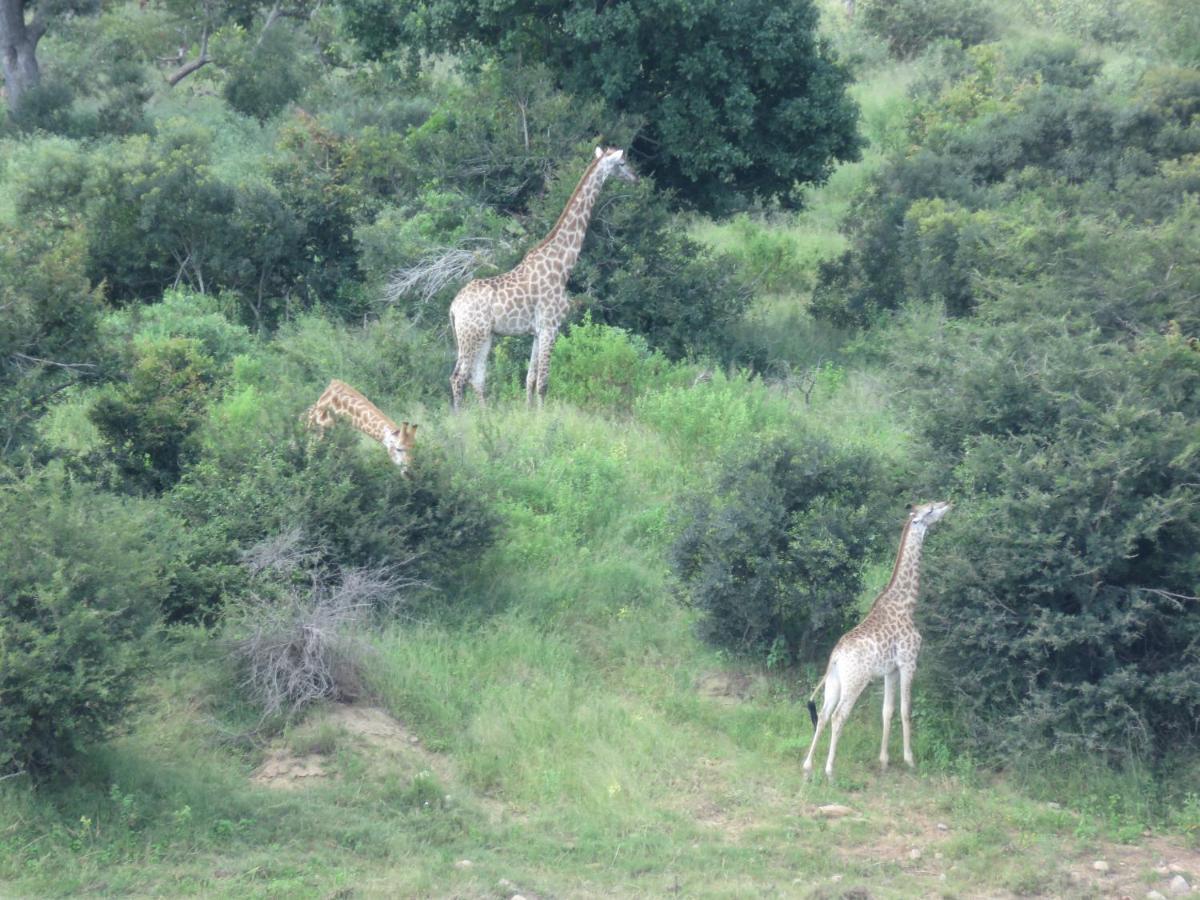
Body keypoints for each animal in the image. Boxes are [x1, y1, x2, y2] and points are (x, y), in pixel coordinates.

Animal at [448, 145, 638, 408]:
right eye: (622, 163)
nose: (636, 178)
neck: (562, 266)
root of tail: (454, 307)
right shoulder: (551, 325)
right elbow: (543, 383)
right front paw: (541, 415)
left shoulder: (537, 332)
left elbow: (530, 378)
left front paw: (528, 413)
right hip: (471, 335)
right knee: (458, 377)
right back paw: (461, 417)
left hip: (483, 336)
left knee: (477, 378)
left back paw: (483, 415)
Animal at [801, 504, 950, 777]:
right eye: (931, 509)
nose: (949, 503)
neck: (906, 604)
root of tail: (836, 656)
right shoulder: (908, 662)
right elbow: (905, 710)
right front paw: (909, 760)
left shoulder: (890, 670)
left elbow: (887, 711)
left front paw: (883, 761)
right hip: (855, 681)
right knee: (839, 716)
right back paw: (829, 769)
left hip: (834, 682)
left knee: (824, 714)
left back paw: (808, 765)